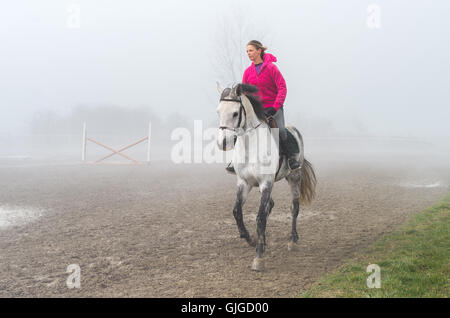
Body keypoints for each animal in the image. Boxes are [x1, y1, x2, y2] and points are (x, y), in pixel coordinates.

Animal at [217, 83, 316, 272]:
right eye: (218, 112)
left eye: (235, 113)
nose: (223, 143)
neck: (250, 146)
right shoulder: (244, 183)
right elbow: (237, 212)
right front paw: (250, 238)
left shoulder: (266, 183)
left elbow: (260, 217)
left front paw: (258, 257)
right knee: (271, 205)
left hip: (294, 177)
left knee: (294, 208)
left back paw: (293, 241)